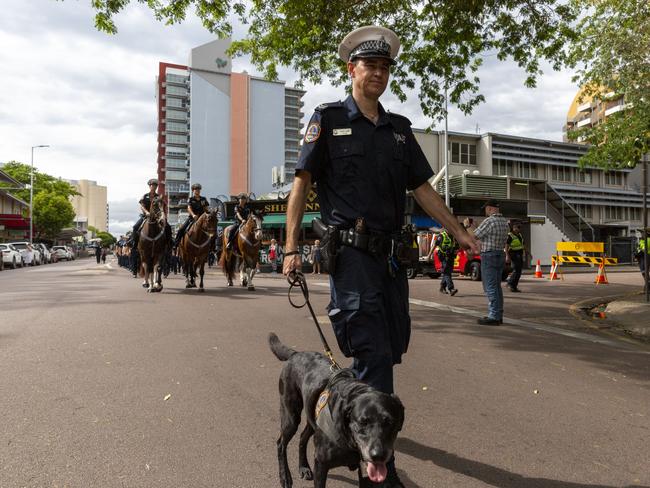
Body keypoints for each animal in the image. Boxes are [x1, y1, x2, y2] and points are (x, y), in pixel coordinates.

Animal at [268, 334, 400, 486]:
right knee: (281, 443)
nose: (378, 455)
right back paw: (285, 476)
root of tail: (295, 354)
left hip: (312, 419)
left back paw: (304, 467)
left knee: (302, 437)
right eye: (362, 422)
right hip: (291, 416)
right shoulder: (321, 464)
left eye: (390, 423)